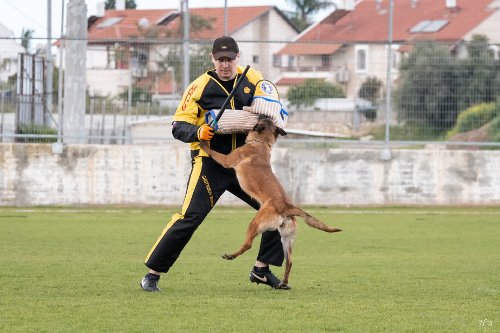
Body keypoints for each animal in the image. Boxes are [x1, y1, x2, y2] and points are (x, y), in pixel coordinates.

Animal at [199, 115, 340, 286]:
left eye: (262, 118)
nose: (263, 114)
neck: (261, 142)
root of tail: (287, 206)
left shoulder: (227, 159)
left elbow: (212, 152)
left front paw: (203, 142)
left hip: (256, 222)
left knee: (248, 244)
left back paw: (231, 255)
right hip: (286, 240)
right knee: (289, 262)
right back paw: (283, 283)